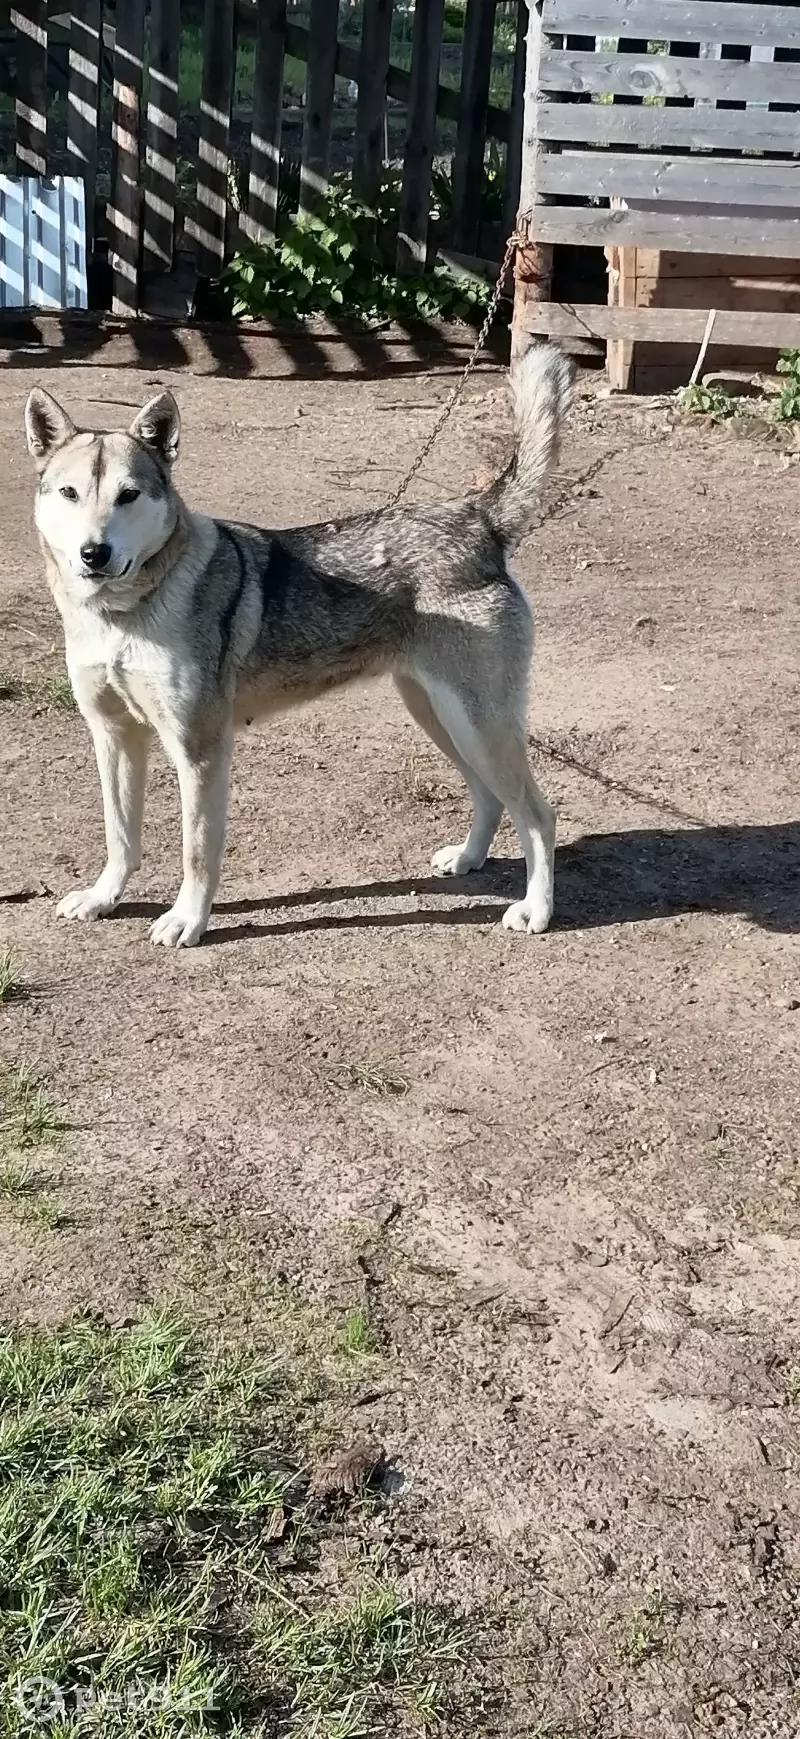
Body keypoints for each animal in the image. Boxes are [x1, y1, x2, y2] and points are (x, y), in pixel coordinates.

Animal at [25, 346, 570, 952]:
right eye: (70, 493)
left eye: (129, 495)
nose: (93, 553)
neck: (123, 616)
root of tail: (476, 516)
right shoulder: (114, 736)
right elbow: (119, 837)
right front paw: (103, 899)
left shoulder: (199, 749)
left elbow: (197, 851)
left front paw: (188, 920)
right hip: (441, 718)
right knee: (491, 796)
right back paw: (470, 858)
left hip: (477, 725)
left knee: (538, 815)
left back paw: (536, 909)